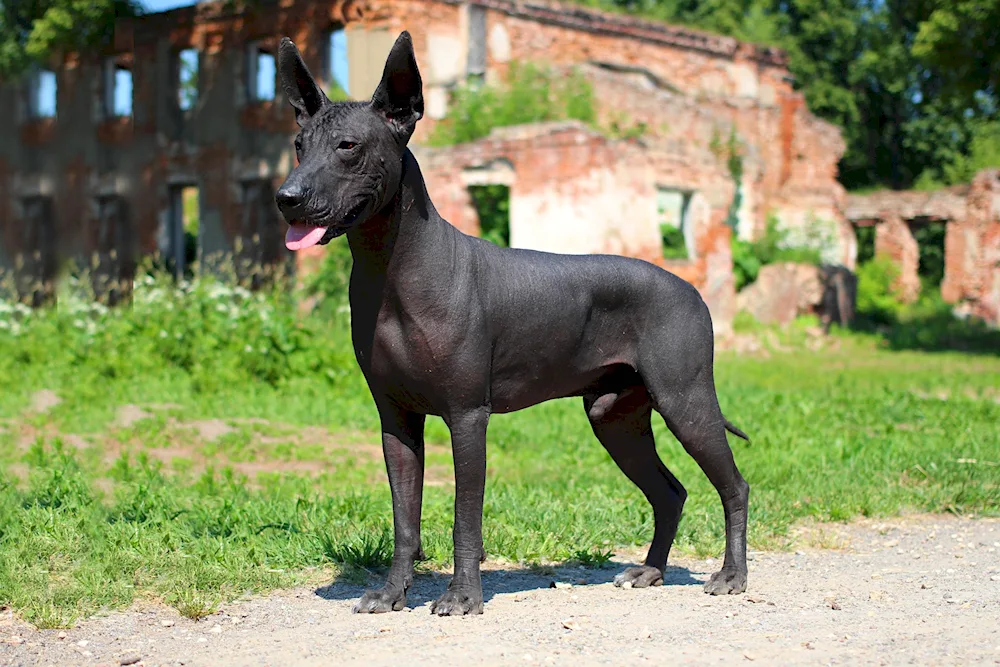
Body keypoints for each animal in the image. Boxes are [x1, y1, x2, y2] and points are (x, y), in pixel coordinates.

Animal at [276, 30, 752, 616]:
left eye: (347, 146)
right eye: (300, 145)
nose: (286, 198)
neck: (391, 273)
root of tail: (692, 290)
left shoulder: (467, 417)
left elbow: (465, 517)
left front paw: (462, 596)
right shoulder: (396, 422)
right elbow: (405, 519)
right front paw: (391, 594)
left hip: (686, 403)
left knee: (733, 486)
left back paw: (731, 575)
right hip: (614, 419)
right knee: (671, 492)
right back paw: (650, 571)